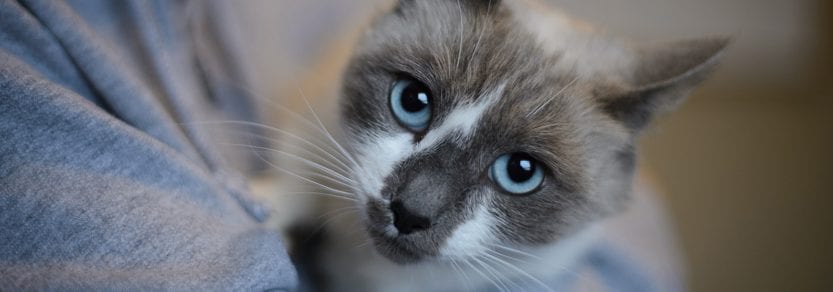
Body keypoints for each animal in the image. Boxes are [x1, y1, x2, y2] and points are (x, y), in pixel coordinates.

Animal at [276, 0, 724, 290]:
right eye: (412, 102)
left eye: (520, 172)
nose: (410, 213)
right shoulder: (312, 120)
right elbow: (294, 180)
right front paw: (269, 212)